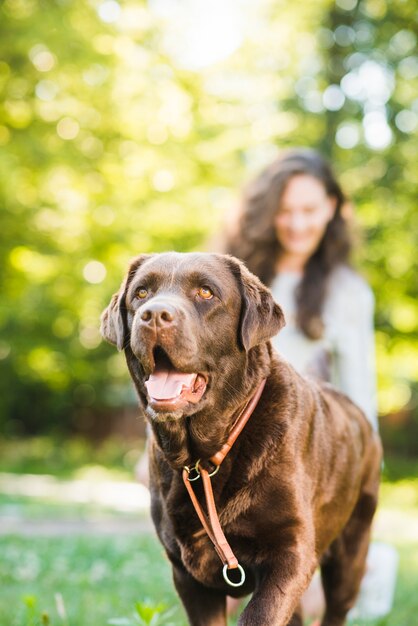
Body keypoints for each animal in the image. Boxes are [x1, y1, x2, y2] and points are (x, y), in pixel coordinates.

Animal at [101, 251, 382, 620]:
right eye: (141, 294)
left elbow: (260, 613)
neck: (206, 456)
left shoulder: (291, 552)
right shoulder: (188, 576)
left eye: (206, 293)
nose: (155, 315)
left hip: (350, 555)